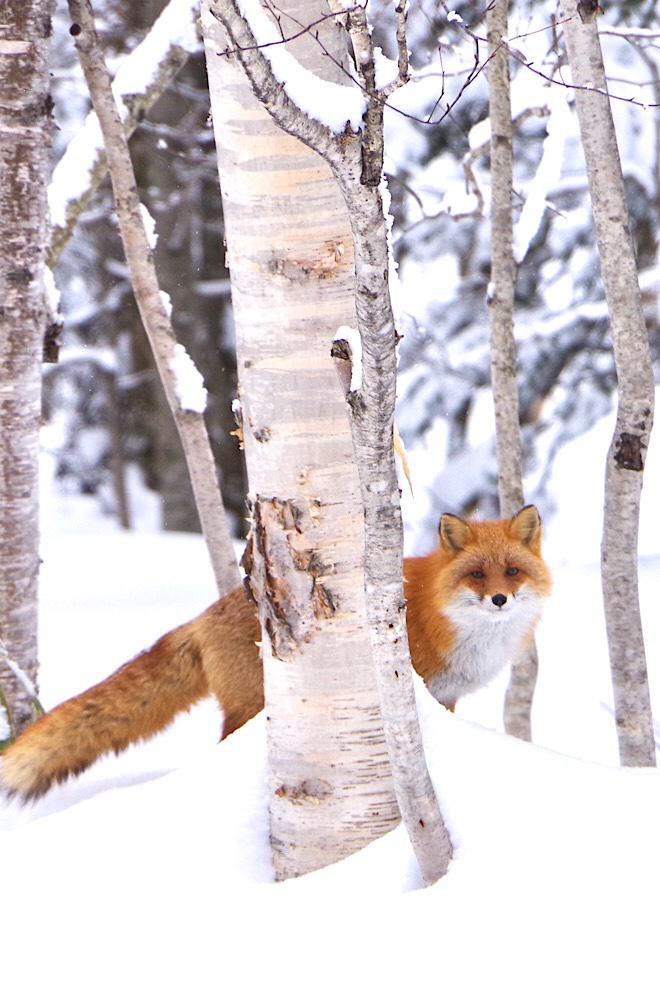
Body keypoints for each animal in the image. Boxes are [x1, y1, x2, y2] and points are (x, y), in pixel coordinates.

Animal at [0, 508, 548, 804]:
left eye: (512, 571)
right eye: (476, 575)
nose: (500, 600)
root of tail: (202, 616)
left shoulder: (447, 697)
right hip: (251, 708)